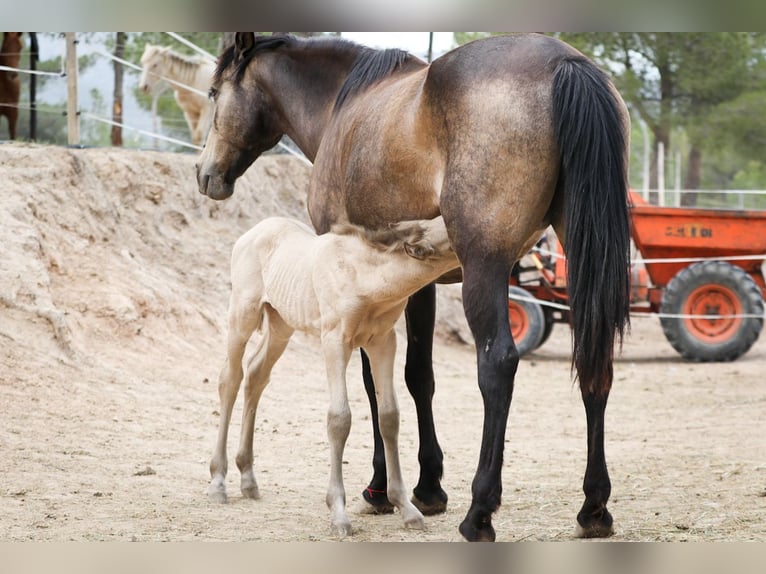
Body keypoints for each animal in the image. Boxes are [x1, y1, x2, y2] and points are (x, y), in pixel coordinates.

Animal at [210, 214, 459, 536]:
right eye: (453, 232)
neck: (362, 276)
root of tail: (255, 230)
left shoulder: (383, 342)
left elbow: (389, 417)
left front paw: (406, 508)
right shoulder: (334, 340)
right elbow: (339, 419)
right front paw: (339, 514)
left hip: (280, 324)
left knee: (256, 375)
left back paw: (248, 478)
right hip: (242, 315)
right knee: (230, 378)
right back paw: (218, 481)